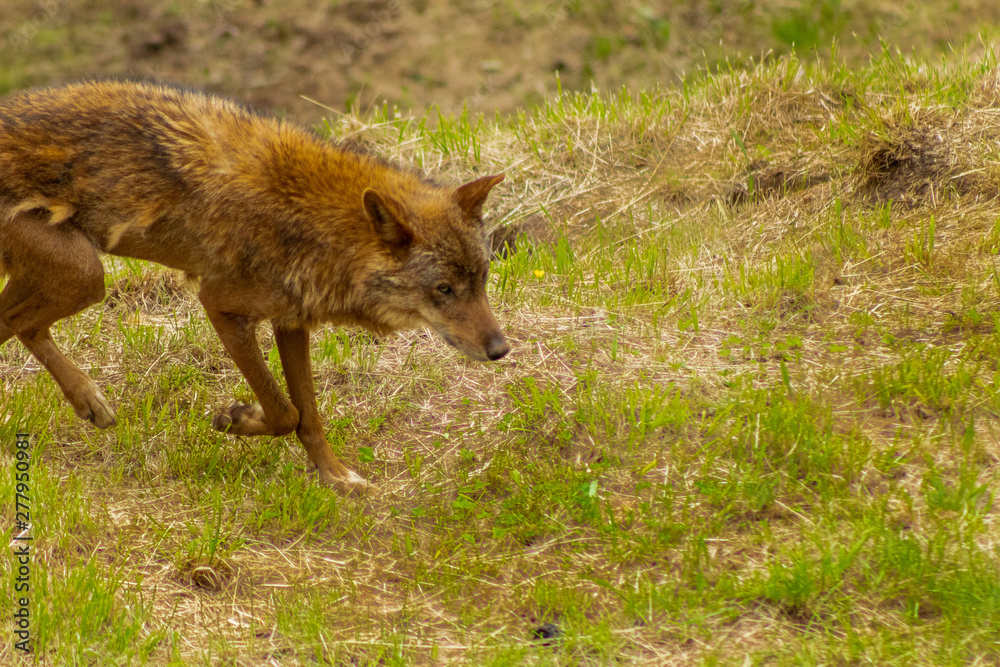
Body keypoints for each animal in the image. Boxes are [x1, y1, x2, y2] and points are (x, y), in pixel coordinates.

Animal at [0, 79, 508, 495]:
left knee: (20, 326)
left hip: (67, 277)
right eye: (444, 289)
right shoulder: (220, 305)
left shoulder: (292, 320)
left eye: (481, 279)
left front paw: (337, 477)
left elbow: (310, 416)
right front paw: (238, 419)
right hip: (86, 274)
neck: (321, 228)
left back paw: (83, 403)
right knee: (19, 323)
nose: (501, 349)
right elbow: (286, 413)